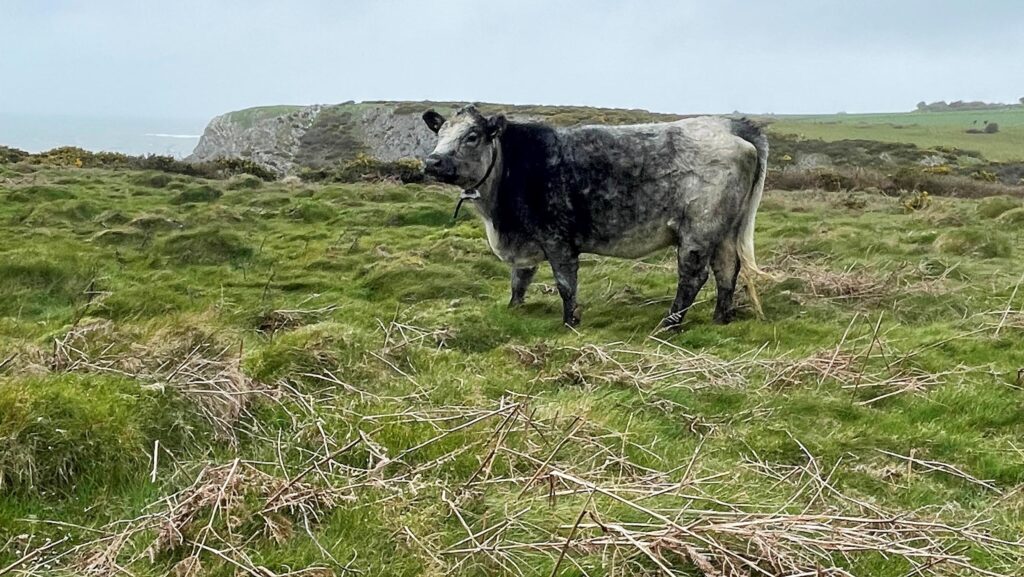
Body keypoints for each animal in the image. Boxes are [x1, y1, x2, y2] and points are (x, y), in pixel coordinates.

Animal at [422, 105, 767, 329]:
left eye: (472, 136)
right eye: (439, 133)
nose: (432, 161)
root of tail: (730, 125)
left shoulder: (557, 238)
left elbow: (565, 283)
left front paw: (569, 322)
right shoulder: (526, 239)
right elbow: (519, 279)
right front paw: (513, 308)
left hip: (699, 228)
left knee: (694, 276)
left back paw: (668, 324)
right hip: (725, 229)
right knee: (727, 269)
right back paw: (720, 318)